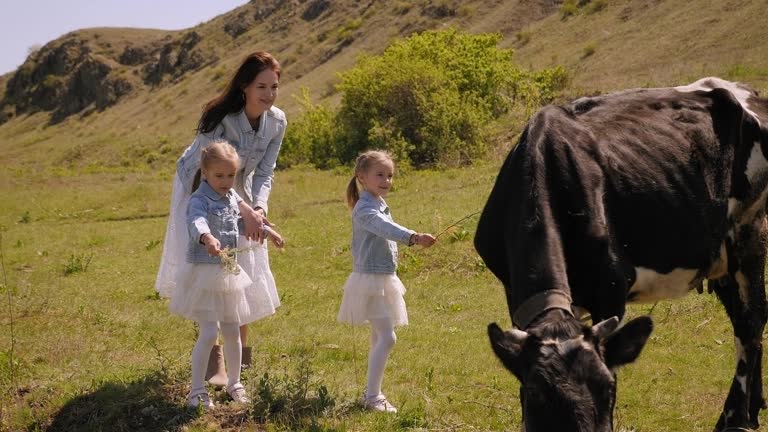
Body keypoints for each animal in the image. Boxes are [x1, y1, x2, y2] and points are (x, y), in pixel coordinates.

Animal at [472, 76, 768, 430]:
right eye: (534, 395)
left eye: (609, 388)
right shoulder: (511, 290)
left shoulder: (611, 284)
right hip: (721, 257)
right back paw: (754, 408)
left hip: (751, 232)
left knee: (751, 323)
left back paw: (736, 416)